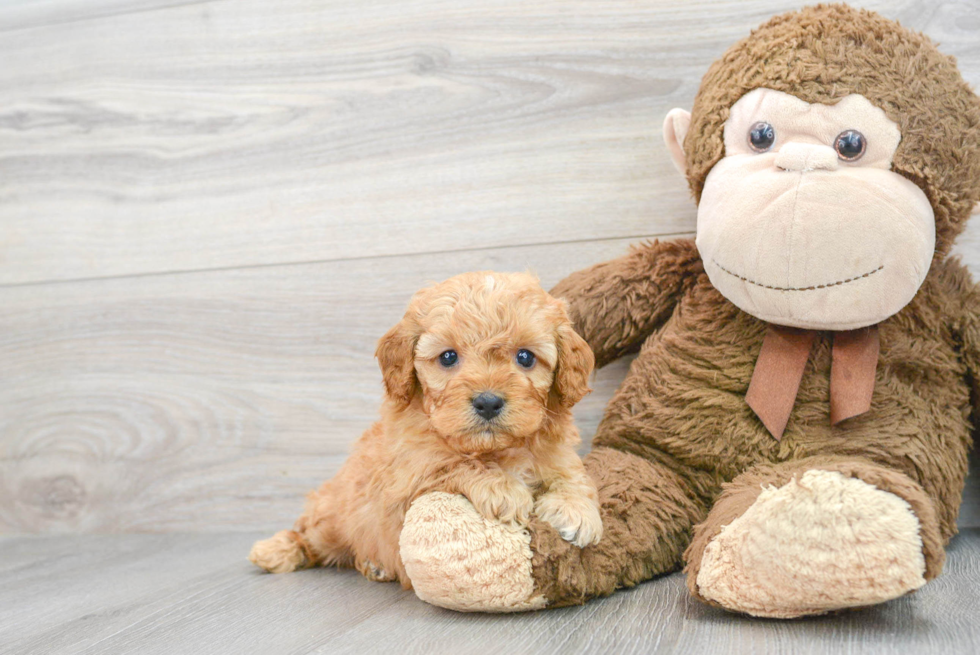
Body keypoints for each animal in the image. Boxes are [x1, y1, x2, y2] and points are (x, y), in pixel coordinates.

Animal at [251, 270, 604, 588]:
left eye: (526, 357)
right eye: (448, 357)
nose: (488, 402)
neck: (493, 449)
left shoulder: (558, 453)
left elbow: (574, 477)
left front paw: (576, 510)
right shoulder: (408, 479)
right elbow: (452, 464)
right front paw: (503, 489)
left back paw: (373, 565)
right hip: (334, 516)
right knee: (309, 535)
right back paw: (275, 551)